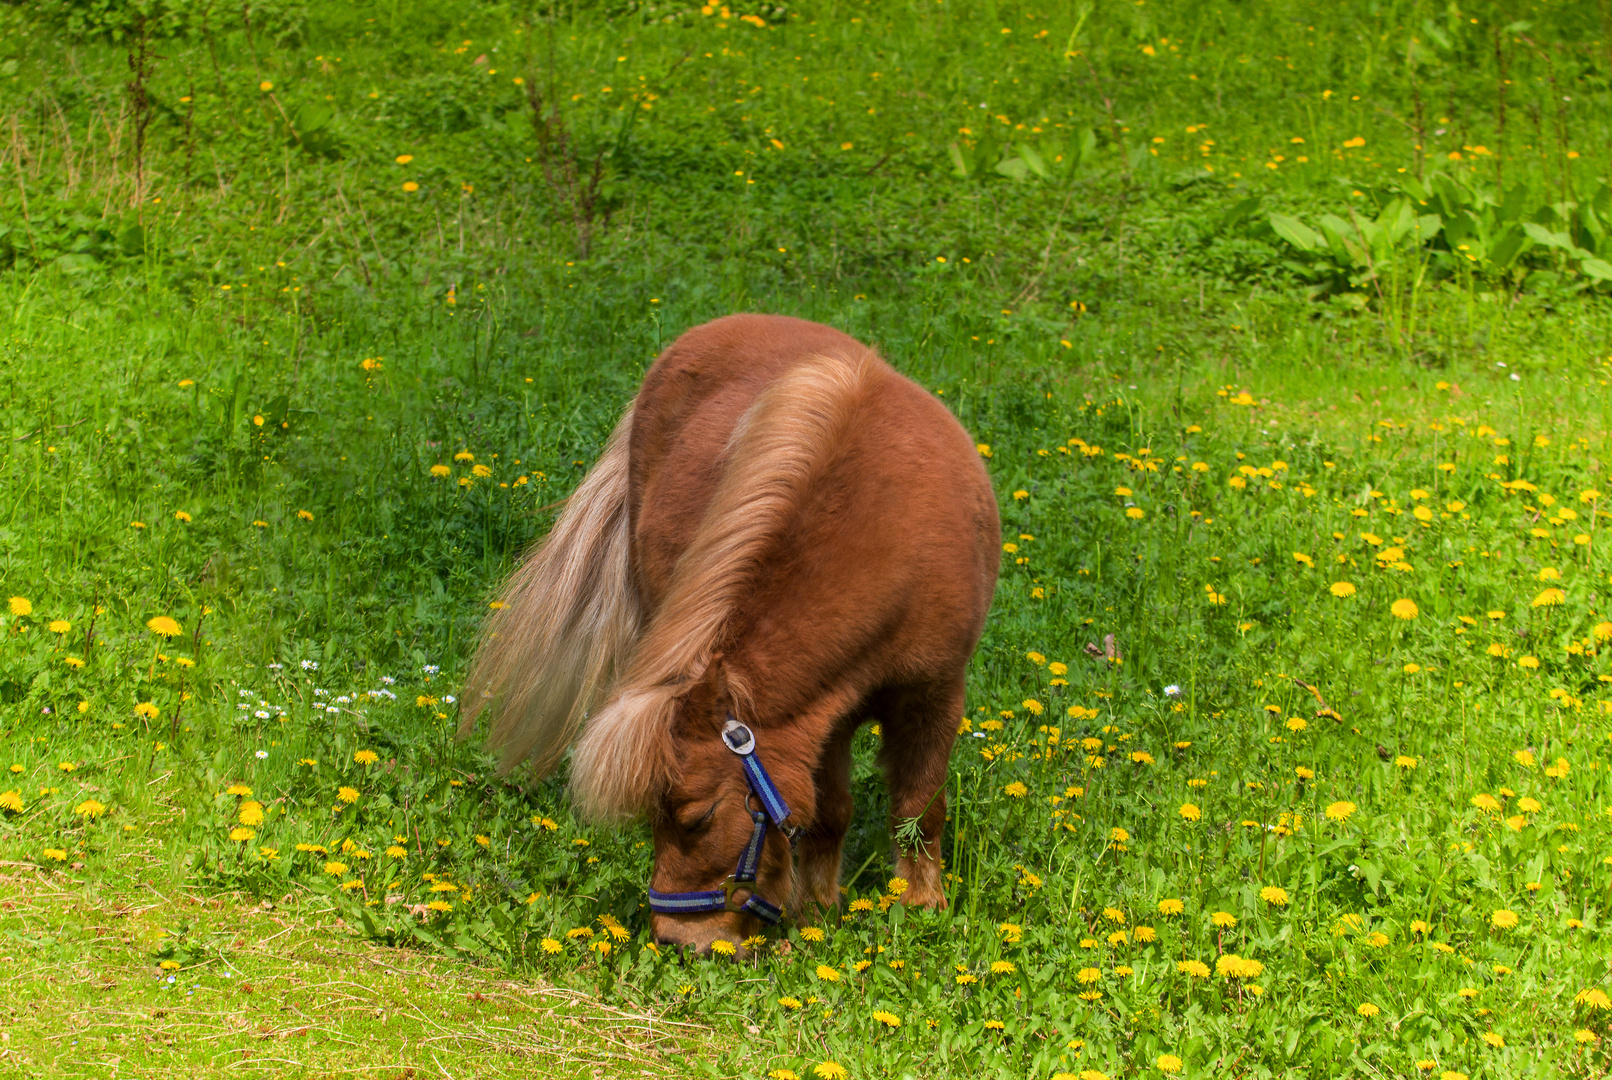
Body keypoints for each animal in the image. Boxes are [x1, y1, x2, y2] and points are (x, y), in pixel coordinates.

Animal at [461, 315, 999, 954]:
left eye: (696, 818)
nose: (678, 939)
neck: (885, 538)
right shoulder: (822, 716)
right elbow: (829, 813)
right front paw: (818, 912)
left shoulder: (933, 694)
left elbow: (919, 810)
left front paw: (920, 908)